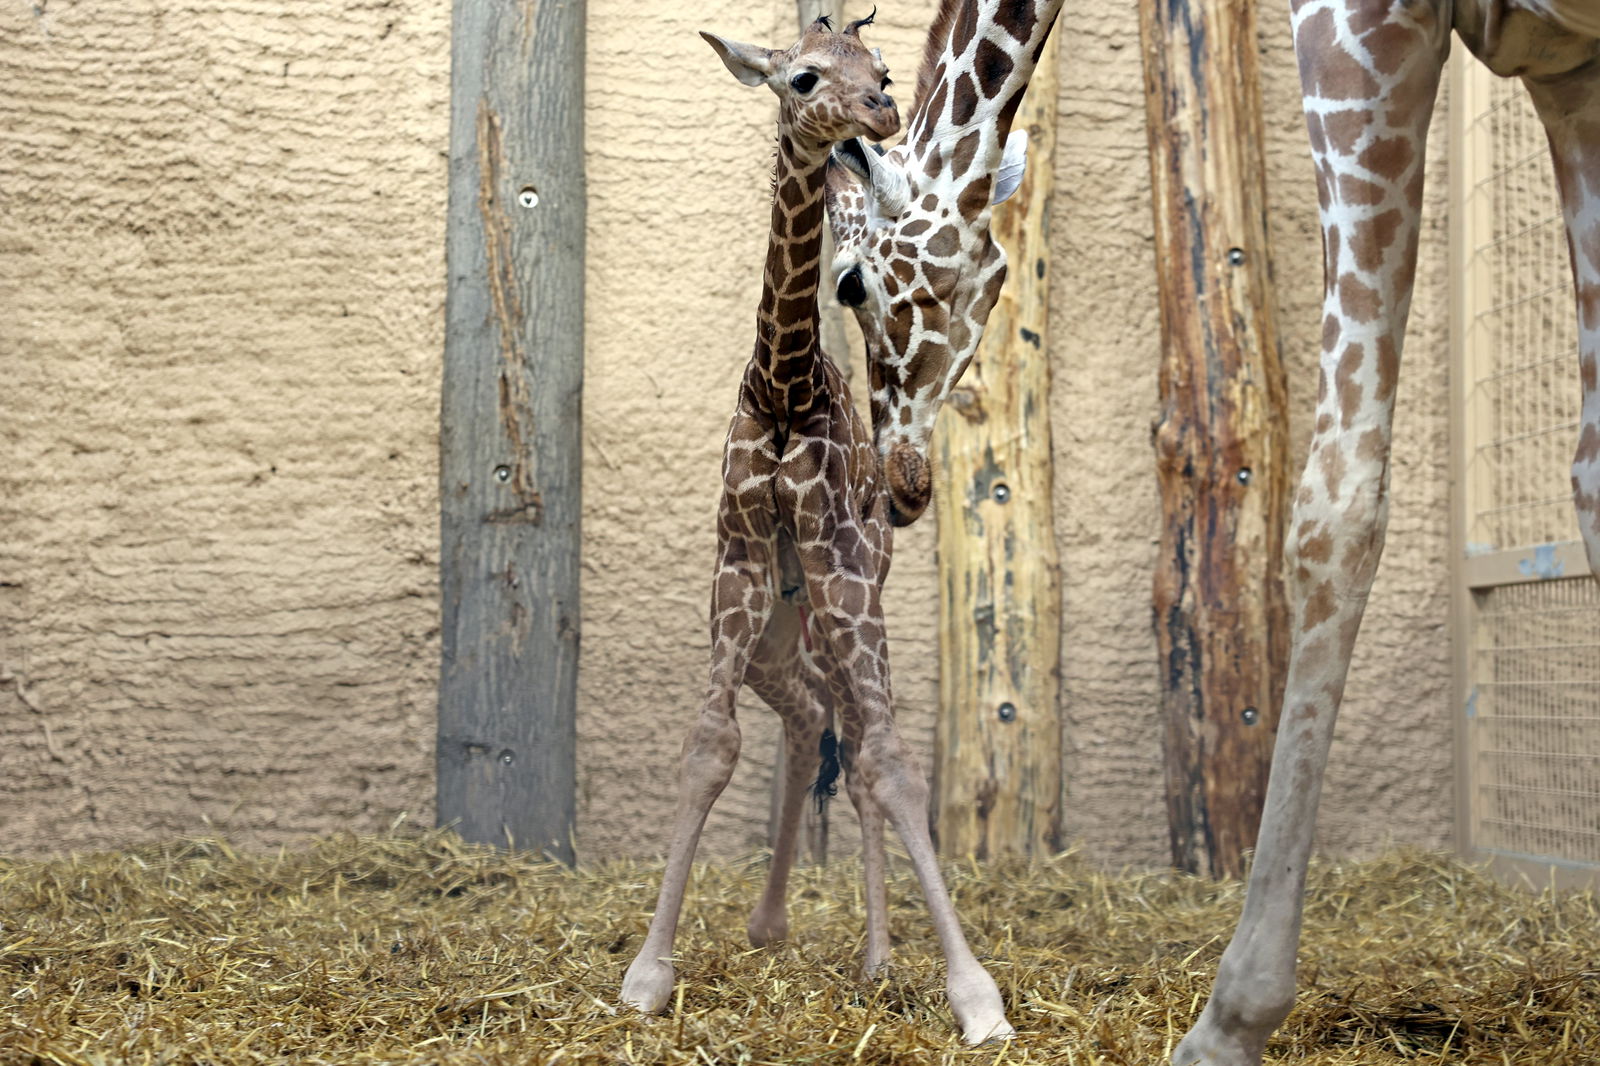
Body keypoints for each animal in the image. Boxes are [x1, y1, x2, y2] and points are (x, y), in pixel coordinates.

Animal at [619, 15, 1016, 1045]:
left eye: (882, 71)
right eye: (801, 76)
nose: (874, 115)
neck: (786, 387)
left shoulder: (836, 565)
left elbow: (894, 764)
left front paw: (976, 996)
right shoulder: (738, 560)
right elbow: (710, 747)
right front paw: (648, 972)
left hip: (850, 598)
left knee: (863, 743)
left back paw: (877, 957)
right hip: (782, 626)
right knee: (808, 716)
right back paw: (771, 923)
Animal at [829, 1, 1600, 1064]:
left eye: (853, 285)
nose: (897, 481)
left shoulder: (1367, 23)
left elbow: (1337, 503)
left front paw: (1232, 1017)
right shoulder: (1572, 77)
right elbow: (1592, 475)